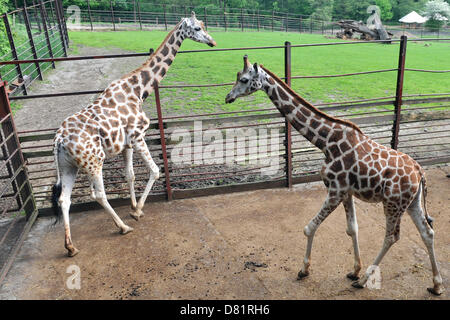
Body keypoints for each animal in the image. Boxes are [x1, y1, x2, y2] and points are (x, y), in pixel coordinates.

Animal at [51, 13, 216, 258]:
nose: (212, 42)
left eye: (205, 25)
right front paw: (136, 212)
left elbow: (130, 175)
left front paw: (133, 207)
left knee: (64, 199)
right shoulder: (138, 136)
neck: (138, 90)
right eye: (197, 28)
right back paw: (123, 227)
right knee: (98, 195)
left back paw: (70, 246)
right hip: (94, 162)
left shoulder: (126, 144)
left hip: (68, 166)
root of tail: (59, 141)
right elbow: (155, 170)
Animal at [225, 55, 442, 296]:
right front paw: (354, 270)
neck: (325, 141)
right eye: (236, 75)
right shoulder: (346, 191)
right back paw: (436, 285)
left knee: (392, 237)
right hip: (412, 203)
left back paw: (364, 281)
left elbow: (309, 227)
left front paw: (304, 270)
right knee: (427, 232)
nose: (228, 97)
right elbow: (352, 228)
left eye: (244, 79)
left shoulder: (335, 189)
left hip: (393, 203)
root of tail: (420, 172)